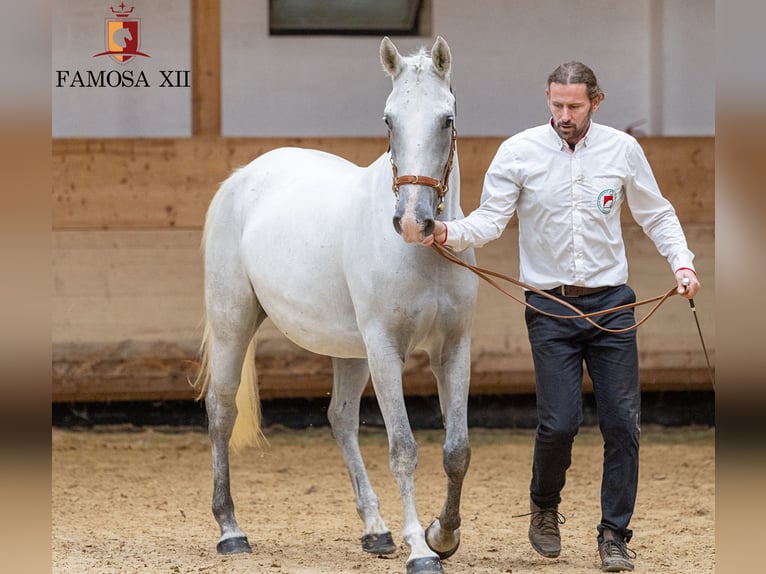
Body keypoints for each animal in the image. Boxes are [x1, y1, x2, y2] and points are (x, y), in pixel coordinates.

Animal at [195, 36, 476, 574]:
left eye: (447, 119)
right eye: (388, 119)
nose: (414, 222)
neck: (423, 256)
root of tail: (241, 178)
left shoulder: (453, 348)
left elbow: (457, 450)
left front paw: (444, 534)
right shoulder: (386, 349)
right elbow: (403, 449)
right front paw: (420, 549)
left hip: (350, 352)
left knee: (341, 418)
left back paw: (376, 529)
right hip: (233, 324)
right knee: (221, 411)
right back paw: (230, 531)